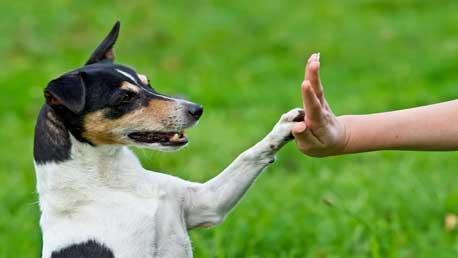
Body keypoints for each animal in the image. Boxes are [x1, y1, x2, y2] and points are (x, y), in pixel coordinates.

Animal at [33, 21, 304, 258]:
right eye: (124, 98)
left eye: (148, 83)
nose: (196, 109)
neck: (113, 183)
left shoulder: (207, 203)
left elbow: (248, 156)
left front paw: (285, 127)